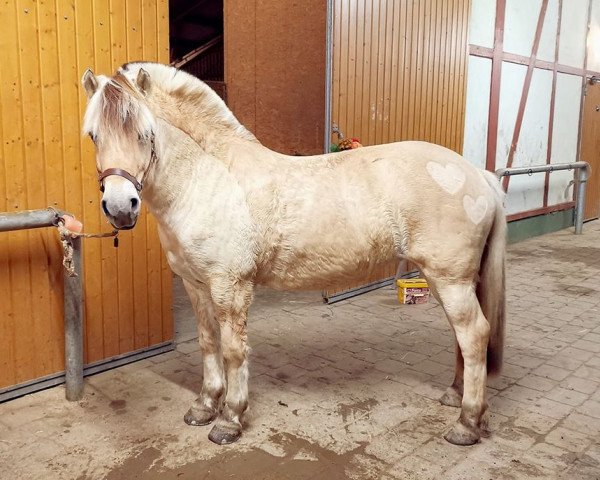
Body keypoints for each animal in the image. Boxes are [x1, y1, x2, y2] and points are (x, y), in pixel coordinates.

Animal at [81, 62, 506, 446]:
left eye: (145, 133)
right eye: (93, 135)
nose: (120, 207)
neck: (209, 178)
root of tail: (478, 175)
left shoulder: (230, 287)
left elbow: (233, 351)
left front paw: (230, 419)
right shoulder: (195, 284)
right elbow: (207, 342)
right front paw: (204, 406)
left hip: (450, 280)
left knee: (473, 334)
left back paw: (466, 424)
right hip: (448, 280)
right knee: (463, 336)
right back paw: (454, 396)